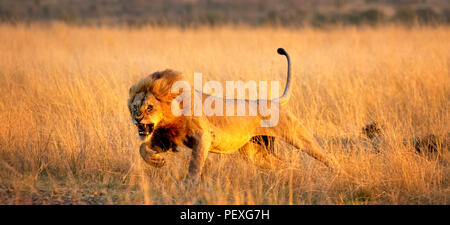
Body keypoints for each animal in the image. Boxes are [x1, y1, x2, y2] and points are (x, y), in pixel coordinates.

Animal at [127, 48, 338, 181]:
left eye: (150, 107)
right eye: (135, 107)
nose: (137, 119)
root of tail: (274, 101)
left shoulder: (203, 137)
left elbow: (195, 164)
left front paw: (189, 185)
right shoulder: (166, 138)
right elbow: (142, 148)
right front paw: (157, 161)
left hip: (297, 136)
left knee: (325, 156)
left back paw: (338, 172)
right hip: (255, 152)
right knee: (281, 164)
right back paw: (290, 174)